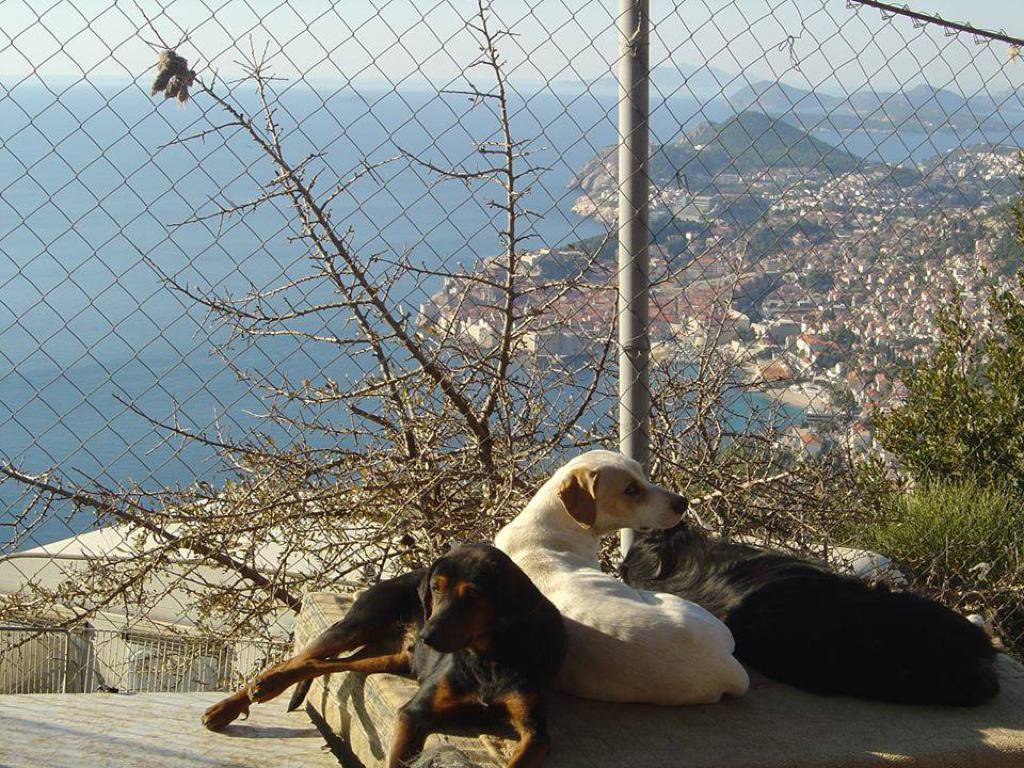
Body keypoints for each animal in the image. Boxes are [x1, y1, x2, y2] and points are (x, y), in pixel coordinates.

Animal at [202, 544, 565, 768]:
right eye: (436, 588)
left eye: (473, 595)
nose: (427, 637)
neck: (489, 656)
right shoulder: (414, 713)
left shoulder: (536, 733)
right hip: (355, 625)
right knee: (300, 657)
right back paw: (239, 700)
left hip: (389, 657)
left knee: (317, 664)